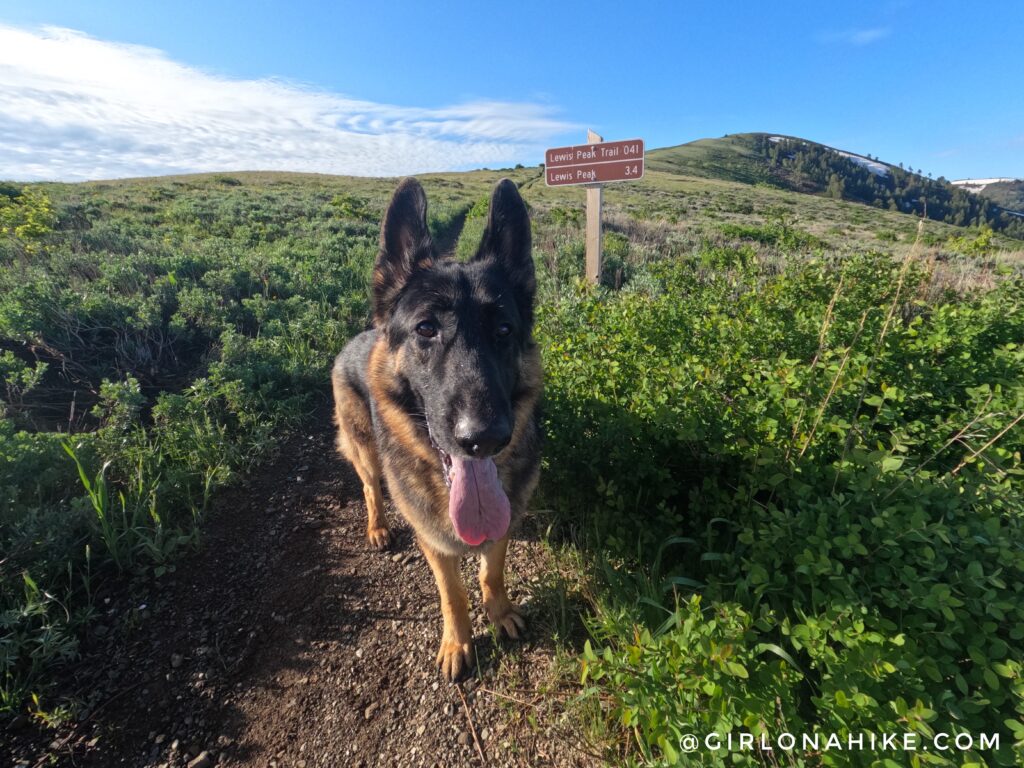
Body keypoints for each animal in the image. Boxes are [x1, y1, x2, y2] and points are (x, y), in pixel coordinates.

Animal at [335, 176, 544, 679]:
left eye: (504, 330)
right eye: (426, 328)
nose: (484, 438)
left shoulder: (502, 524)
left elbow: (492, 571)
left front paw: (500, 612)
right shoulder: (431, 537)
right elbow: (453, 593)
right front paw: (458, 643)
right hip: (364, 450)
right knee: (370, 487)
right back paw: (377, 526)